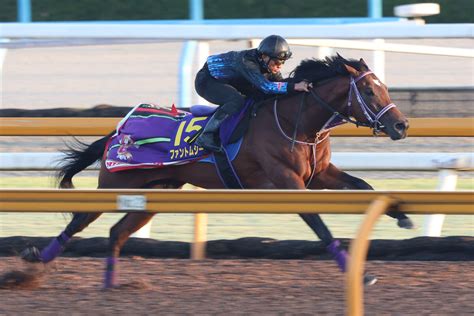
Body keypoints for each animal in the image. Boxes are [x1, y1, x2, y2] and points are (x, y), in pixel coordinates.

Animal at [21, 55, 412, 288]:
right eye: (368, 90)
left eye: (383, 88)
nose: (401, 125)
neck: (295, 121)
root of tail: (118, 130)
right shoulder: (287, 183)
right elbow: (320, 226)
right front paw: (359, 274)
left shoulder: (320, 175)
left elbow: (364, 185)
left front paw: (403, 215)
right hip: (117, 184)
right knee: (81, 219)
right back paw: (37, 258)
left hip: (158, 190)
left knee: (117, 232)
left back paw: (110, 284)